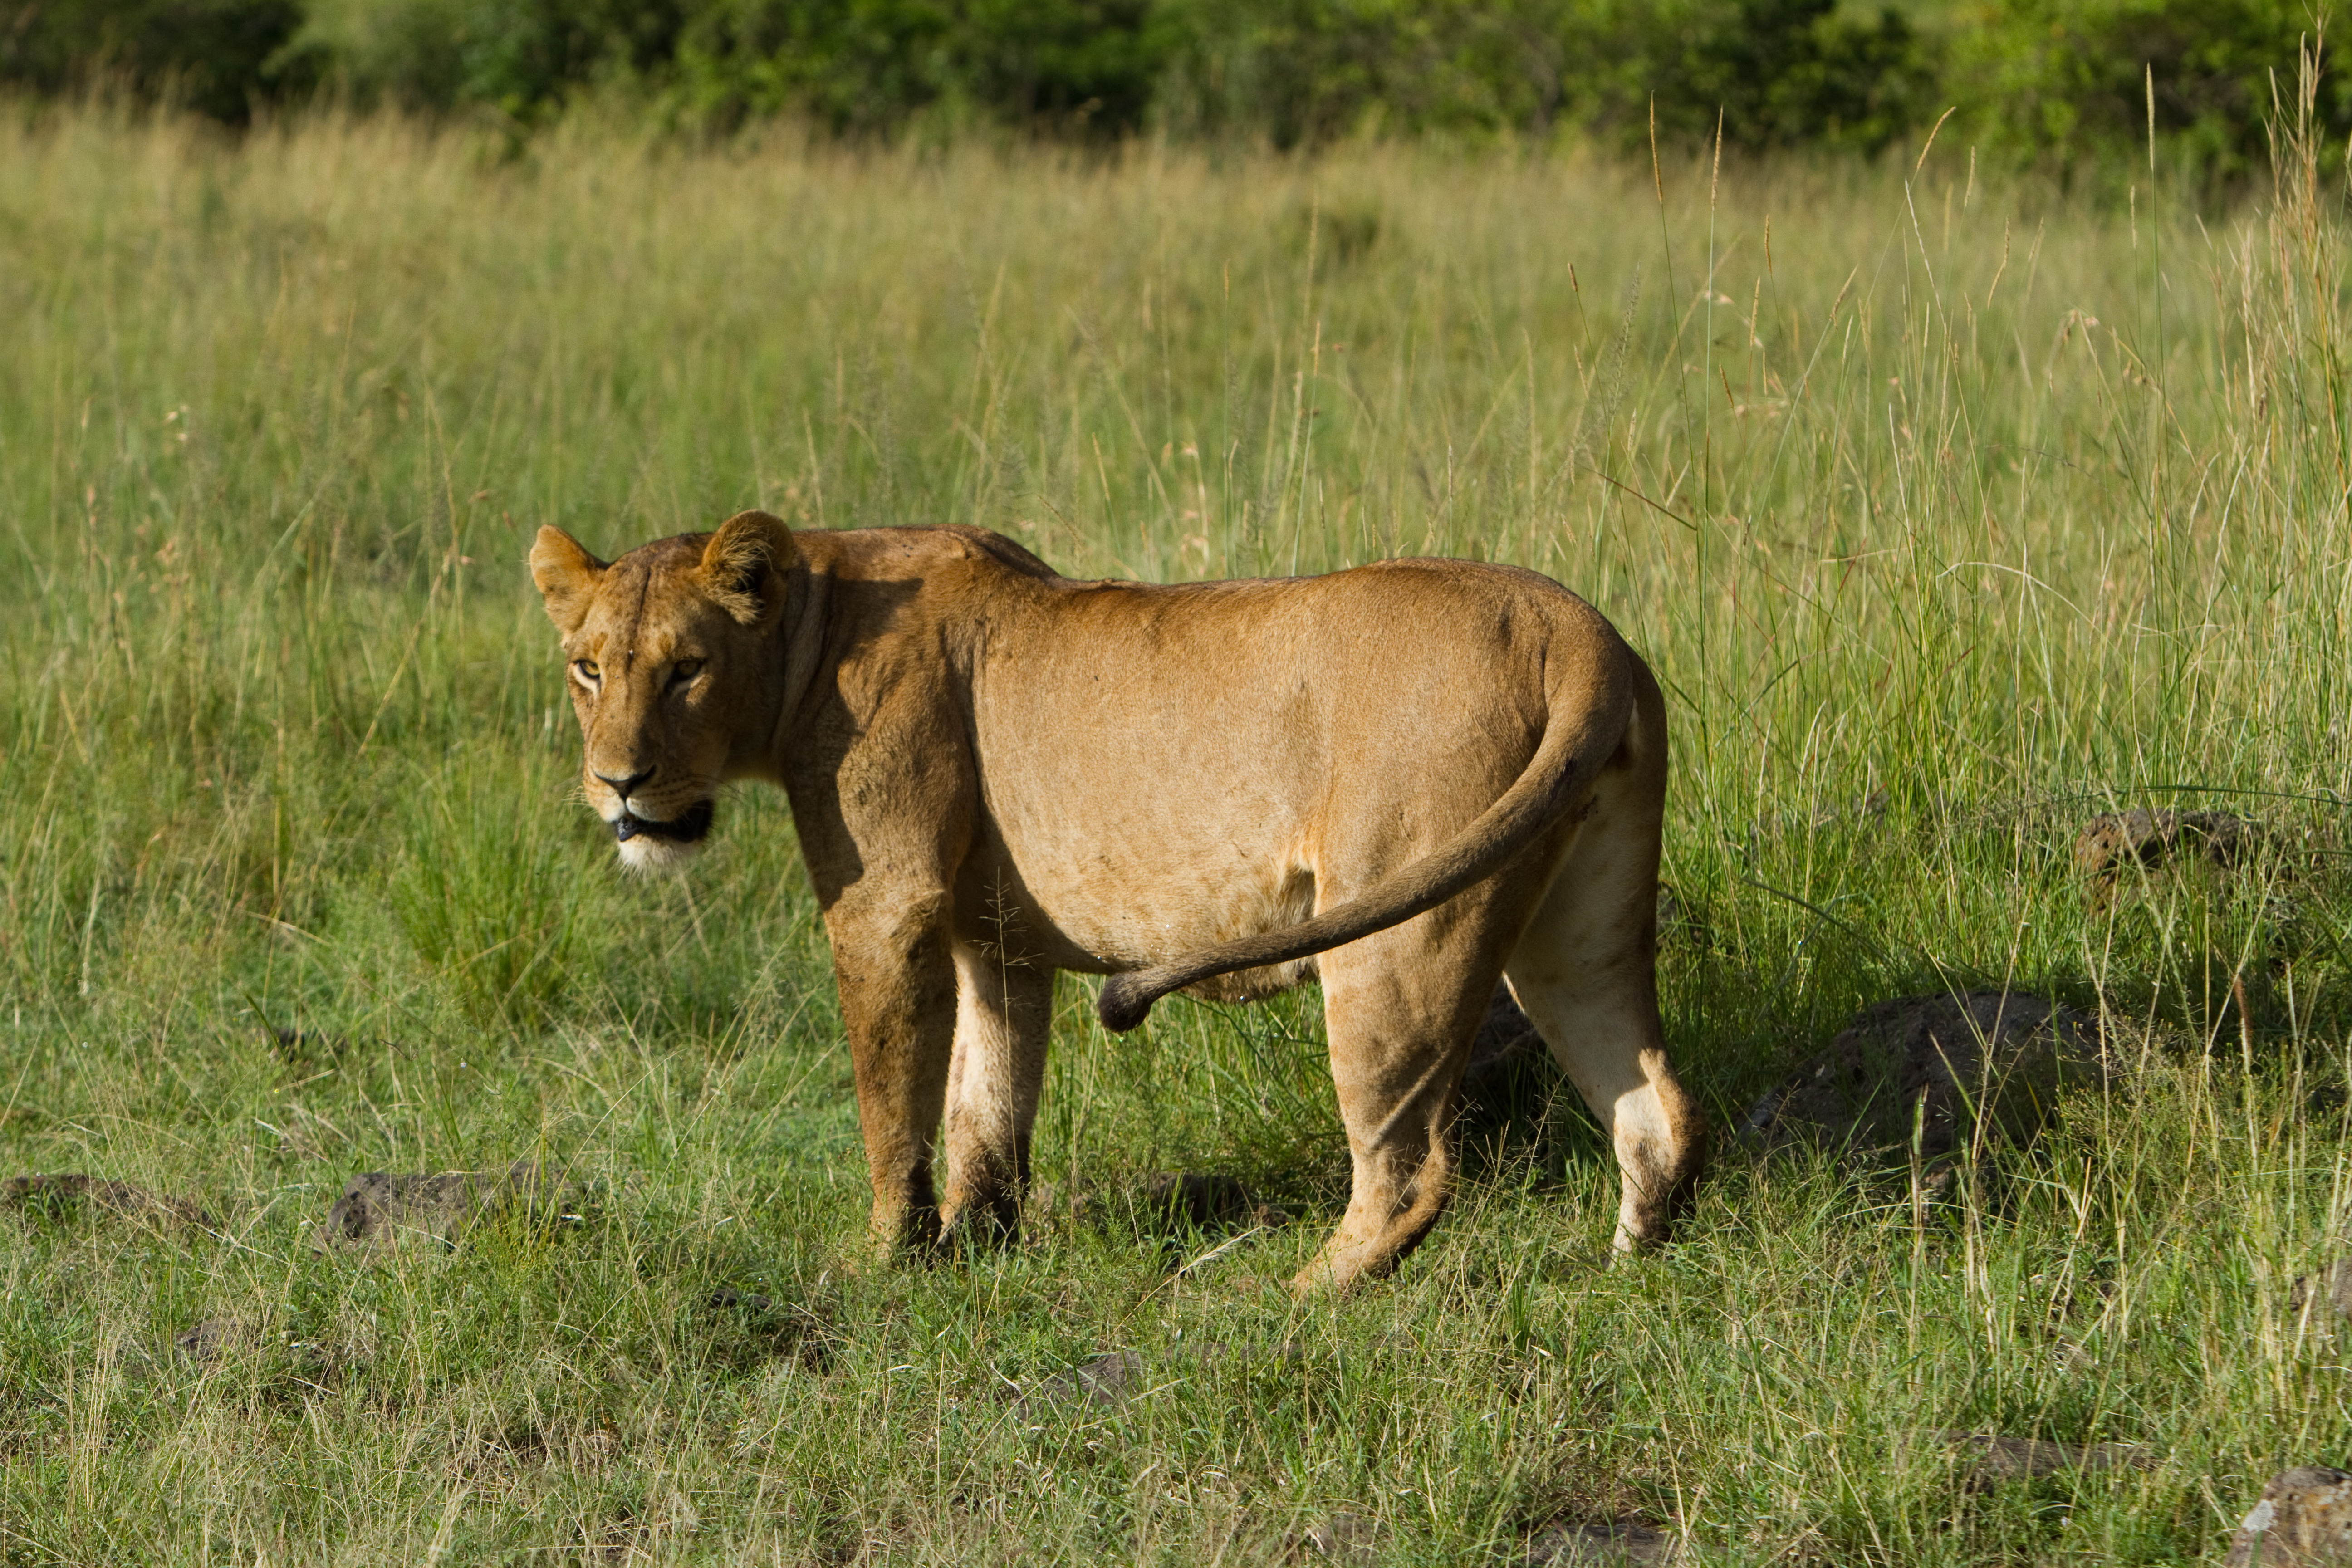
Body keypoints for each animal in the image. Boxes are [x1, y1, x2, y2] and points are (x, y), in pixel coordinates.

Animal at [530, 510, 1707, 1290]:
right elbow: (986, 1104)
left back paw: (1291, 1299)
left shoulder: (887, 904)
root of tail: (1579, 631)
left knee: (1413, 1166)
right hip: (1578, 926)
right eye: (588, 669)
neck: (811, 628)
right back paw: (1627, 1277)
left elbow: (891, 1100)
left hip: (1399, 934)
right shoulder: (995, 938)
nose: (620, 783)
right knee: (1654, 1103)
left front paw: (883, 1261)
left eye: (685, 669)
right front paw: (981, 1247)